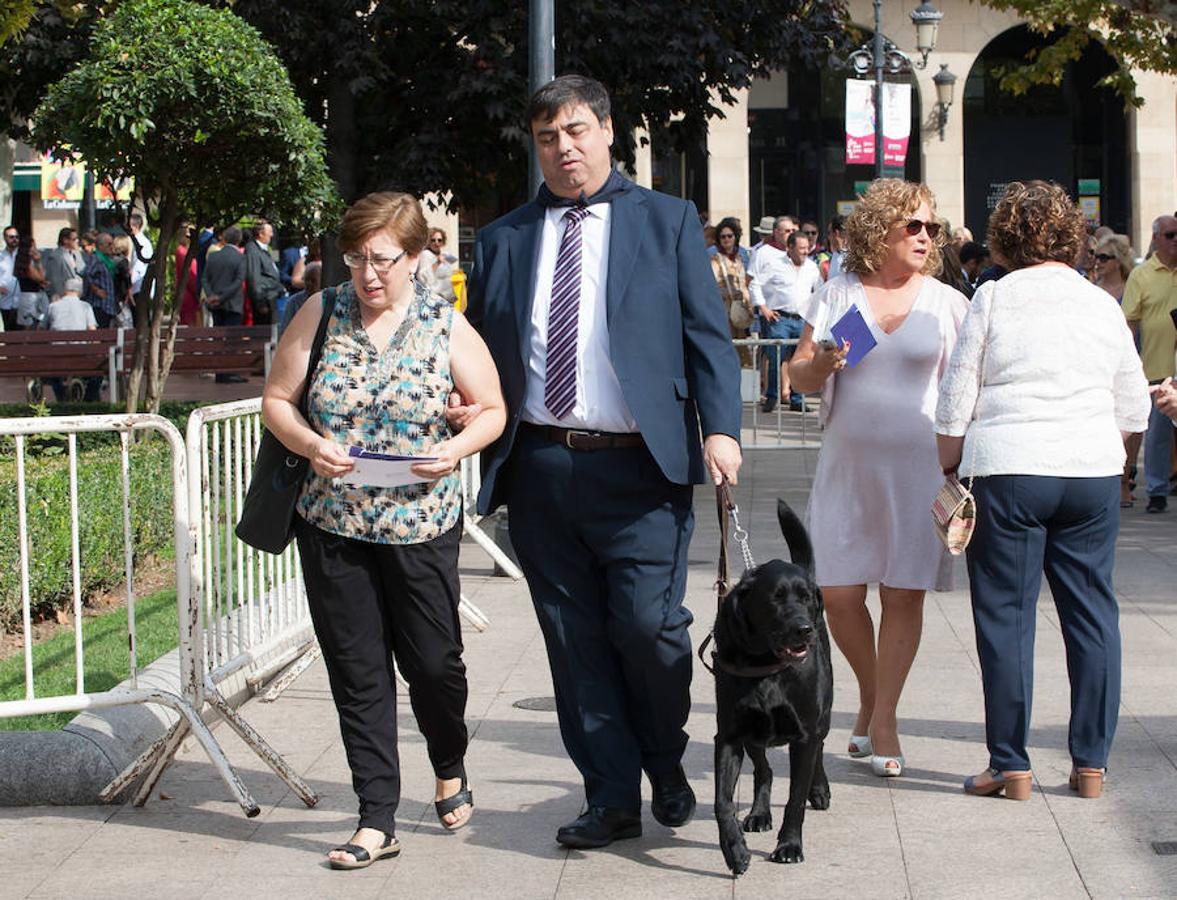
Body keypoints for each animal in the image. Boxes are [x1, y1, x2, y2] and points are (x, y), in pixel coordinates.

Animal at [710, 494, 833, 875]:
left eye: (805, 597)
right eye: (774, 598)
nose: (804, 629)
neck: (766, 666)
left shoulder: (804, 734)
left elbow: (795, 798)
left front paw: (789, 845)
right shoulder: (729, 735)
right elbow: (722, 801)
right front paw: (734, 850)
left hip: (823, 715)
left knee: (819, 750)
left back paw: (820, 789)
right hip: (755, 735)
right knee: (763, 771)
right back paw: (759, 813)